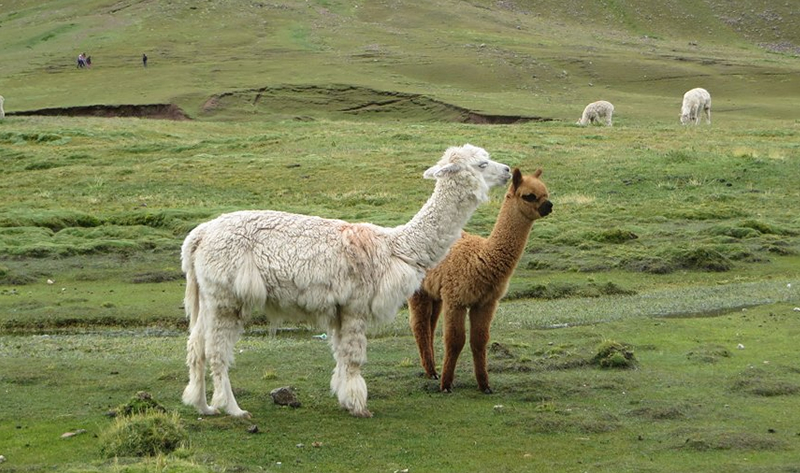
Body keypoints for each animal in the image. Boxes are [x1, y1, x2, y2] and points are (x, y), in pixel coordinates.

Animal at [181, 144, 510, 416]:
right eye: (482, 163)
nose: (507, 170)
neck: (396, 247)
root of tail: (200, 234)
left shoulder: (339, 309)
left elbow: (340, 355)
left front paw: (344, 398)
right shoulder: (355, 305)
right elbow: (353, 358)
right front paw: (359, 406)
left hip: (208, 297)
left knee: (196, 346)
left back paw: (202, 406)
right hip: (226, 297)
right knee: (216, 352)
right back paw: (233, 409)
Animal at [410, 168, 552, 392]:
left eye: (546, 193)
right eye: (529, 196)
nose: (549, 205)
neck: (480, 259)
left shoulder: (485, 302)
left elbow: (479, 340)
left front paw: (484, 385)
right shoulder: (456, 300)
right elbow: (455, 340)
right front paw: (446, 384)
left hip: (435, 293)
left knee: (430, 325)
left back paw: (431, 369)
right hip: (419, 290)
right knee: (420, 325)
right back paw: (432, 371)